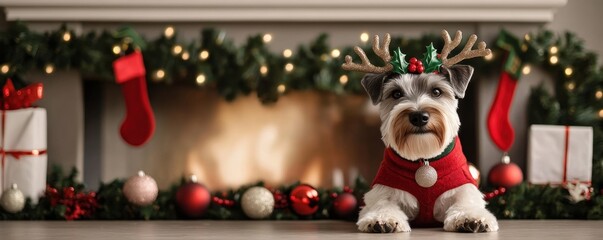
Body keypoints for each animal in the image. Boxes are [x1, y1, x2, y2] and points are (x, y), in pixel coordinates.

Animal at [344, 30, 500, 232]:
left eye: (436, 91)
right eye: (396, 94)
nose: (419, 116)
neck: (424, 159)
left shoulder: (464, 188)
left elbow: (466, 203)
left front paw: (470, 218)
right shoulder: (382, 190)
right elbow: (382, 204)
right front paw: (382, 219)